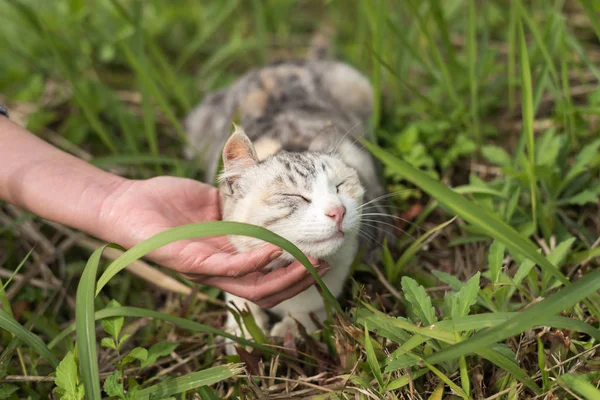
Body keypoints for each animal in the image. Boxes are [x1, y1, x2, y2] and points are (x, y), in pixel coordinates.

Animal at [183, 35, 392, 354]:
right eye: (294, 197)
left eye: (339, 187)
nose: (338, 211)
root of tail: (282, 62)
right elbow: (237, 301)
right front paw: (243, 333)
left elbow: (313, 306)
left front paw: (290, 331)